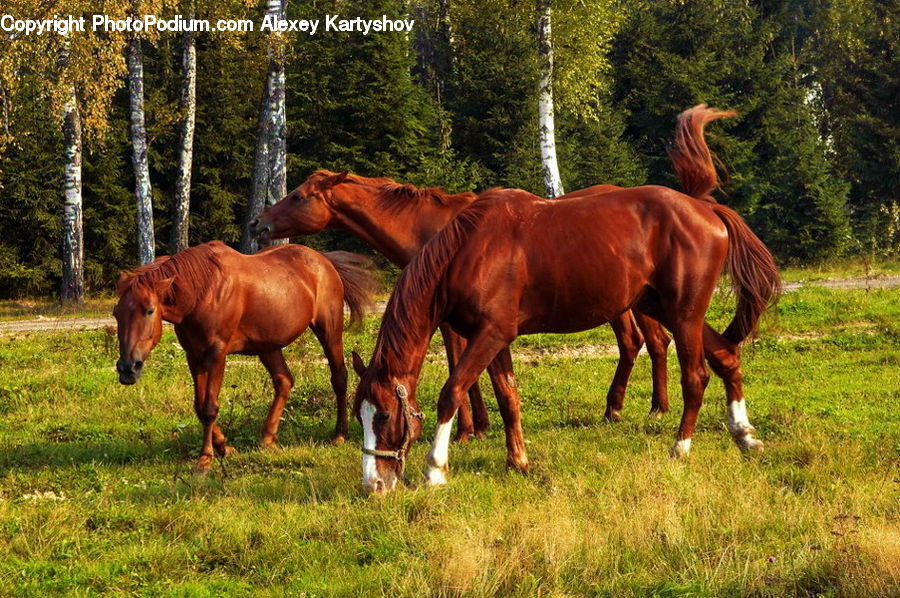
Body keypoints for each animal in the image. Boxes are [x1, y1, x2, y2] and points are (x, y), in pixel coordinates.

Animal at [115, 241, 376, 472]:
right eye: (116, 313)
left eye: (150, 310)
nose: (128, 368)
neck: (203, 291)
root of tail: (324, 261)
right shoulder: (194, 355)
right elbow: (199, 406)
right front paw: (224, 447)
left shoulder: (216, 354)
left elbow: (209, 407)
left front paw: (205, 459)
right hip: (268, 346)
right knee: (284, 381)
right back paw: (268, 438)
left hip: (328, 330)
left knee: (339, 378)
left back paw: (339, 434)